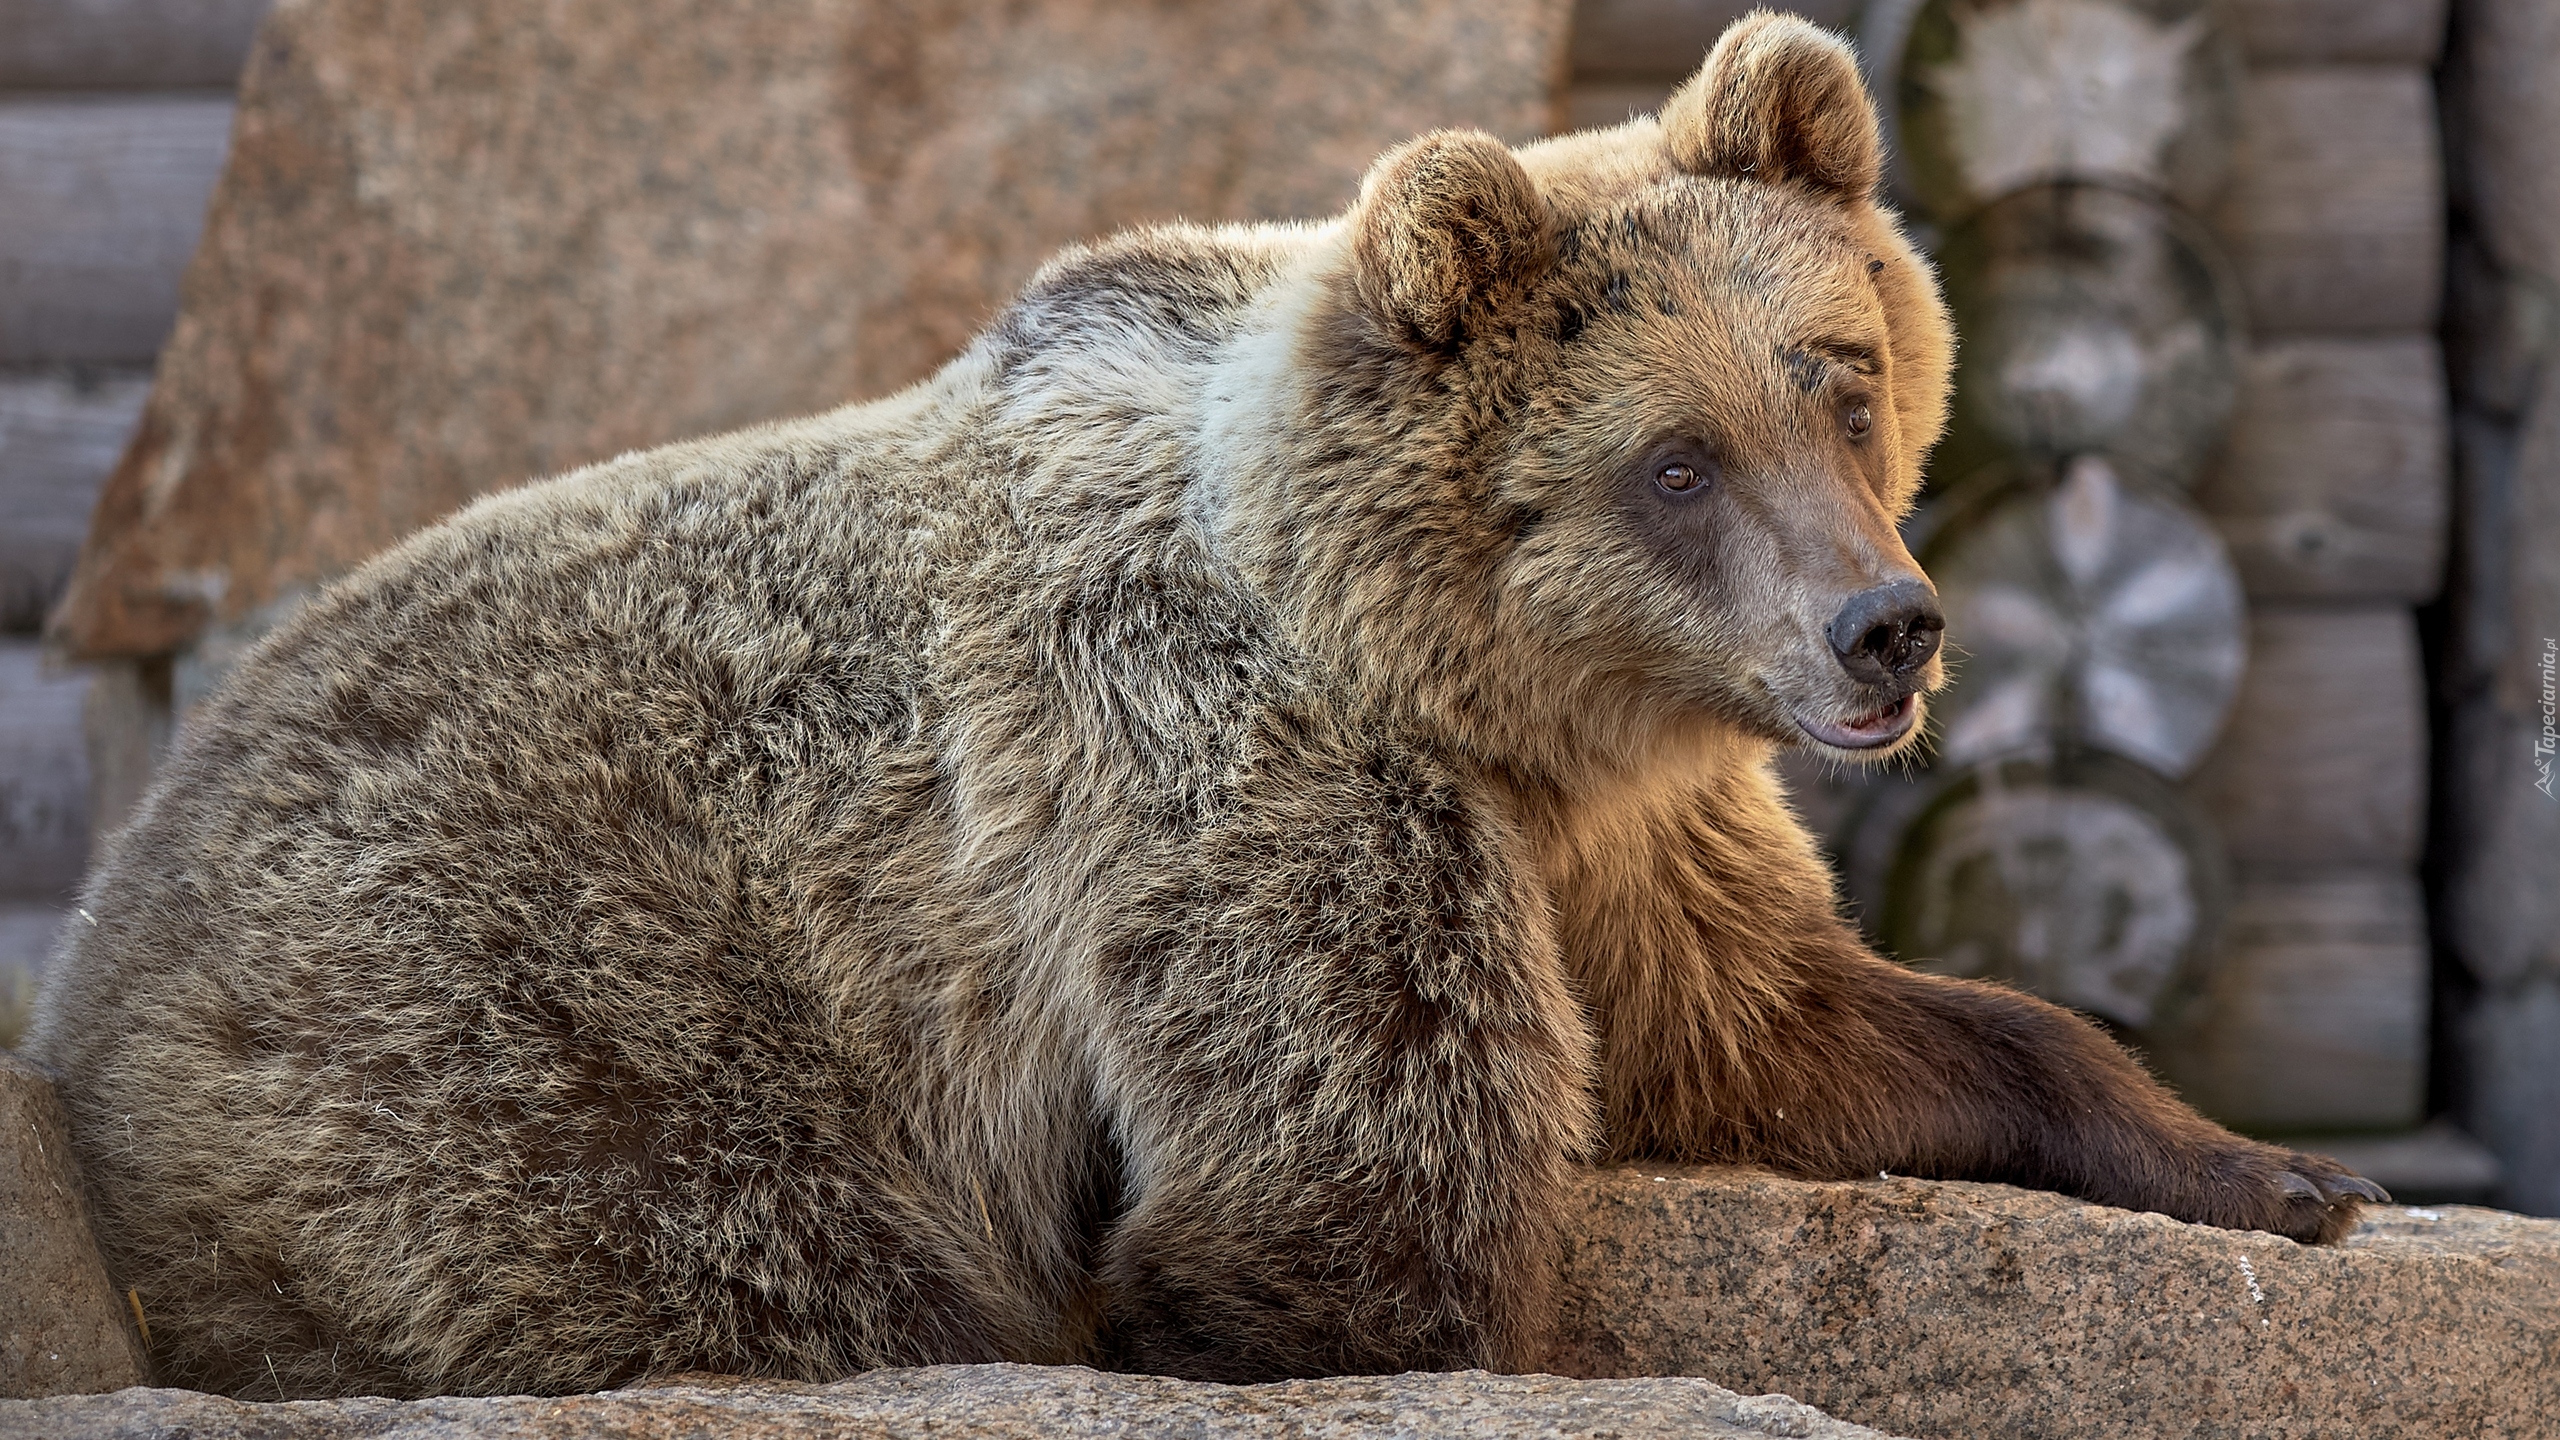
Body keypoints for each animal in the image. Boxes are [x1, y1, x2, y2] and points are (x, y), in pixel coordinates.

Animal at [24, 11, 2375, 1393]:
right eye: (1674, 459)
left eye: (1840, 375)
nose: (1886, 627)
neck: (1488, 687)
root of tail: (111, 925)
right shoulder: (1231, 777)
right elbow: (1361, 1201)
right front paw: (1177, 1298)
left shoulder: (1626, 835)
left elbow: (1796, 1024)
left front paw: (2264, 1172)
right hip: (522, 1025)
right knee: (719, 1235)